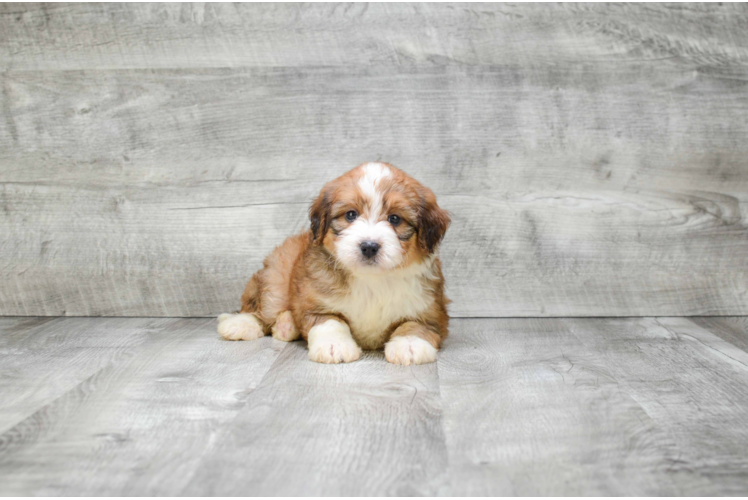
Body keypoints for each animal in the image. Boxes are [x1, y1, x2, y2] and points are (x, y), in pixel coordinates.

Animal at [216, 162, 450, 366]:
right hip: (276, 277)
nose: (369, 246)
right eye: (351, 215)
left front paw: (410, 346)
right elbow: (330, 322)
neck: (371, 280)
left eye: (394, 219)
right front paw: (334, 346)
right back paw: (241, 324)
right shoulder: (315, 302)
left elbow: (415, 325)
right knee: (263, 309)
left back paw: (286, 326)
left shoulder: (430, 310)